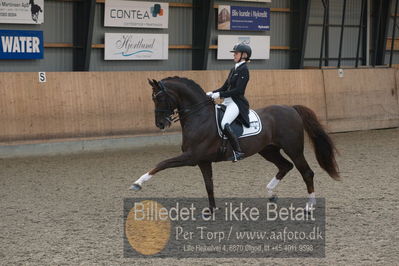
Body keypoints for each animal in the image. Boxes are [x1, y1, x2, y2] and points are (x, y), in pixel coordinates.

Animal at [132, 76, 340, 211]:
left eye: (159, 97)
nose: (160, 124)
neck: (199, 116)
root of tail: (291, 108)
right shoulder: (203, 161)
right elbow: (209, 185)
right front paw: (212, 210)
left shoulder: (191, 157)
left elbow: (162, 163)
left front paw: (138, 183)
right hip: (268, 150)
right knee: (285, 166)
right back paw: (271, 193)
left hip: (294, 149)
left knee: (306, 172)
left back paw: (309, 206)